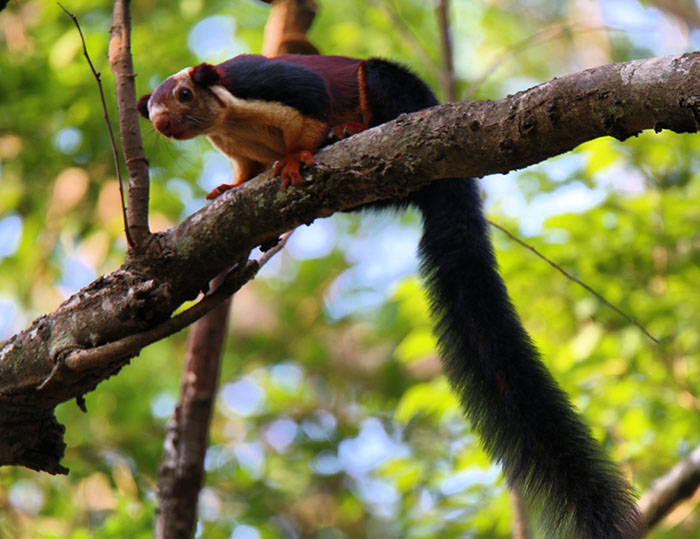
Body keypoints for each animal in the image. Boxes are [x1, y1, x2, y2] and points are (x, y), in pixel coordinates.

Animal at [138, 54, 642, 538]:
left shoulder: (269, 84)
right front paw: (230, 187)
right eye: (151, 107)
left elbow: (310, 109)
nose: (162, 124)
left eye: (183, 95)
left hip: (389, 87)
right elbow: (247, 173)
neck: (228, 121)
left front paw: (297, 155)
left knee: (377, 92)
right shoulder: (238, 149)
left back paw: (351, 129)